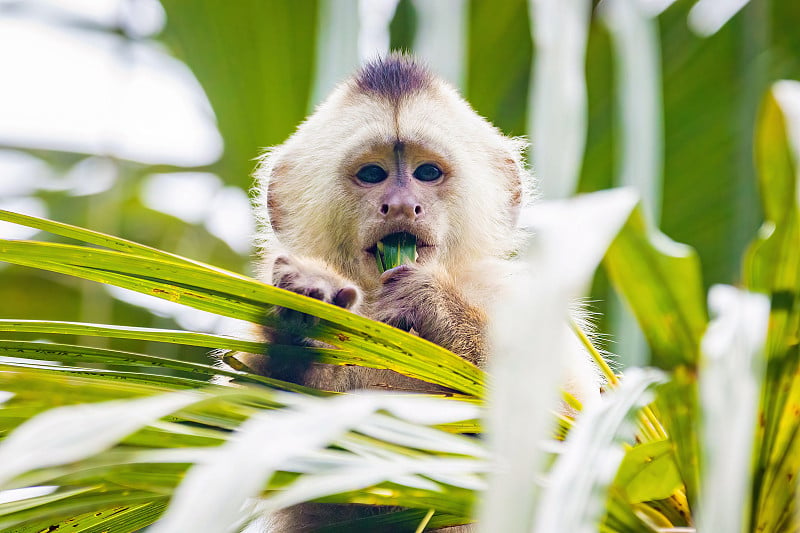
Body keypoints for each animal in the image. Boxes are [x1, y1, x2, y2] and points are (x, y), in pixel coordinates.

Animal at [233, 54, 600, 532]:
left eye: (427, 173)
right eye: (373, 174)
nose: (403, 205)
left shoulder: (513, 294)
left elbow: (567, 439)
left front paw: (430, 303)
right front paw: (302, 311)